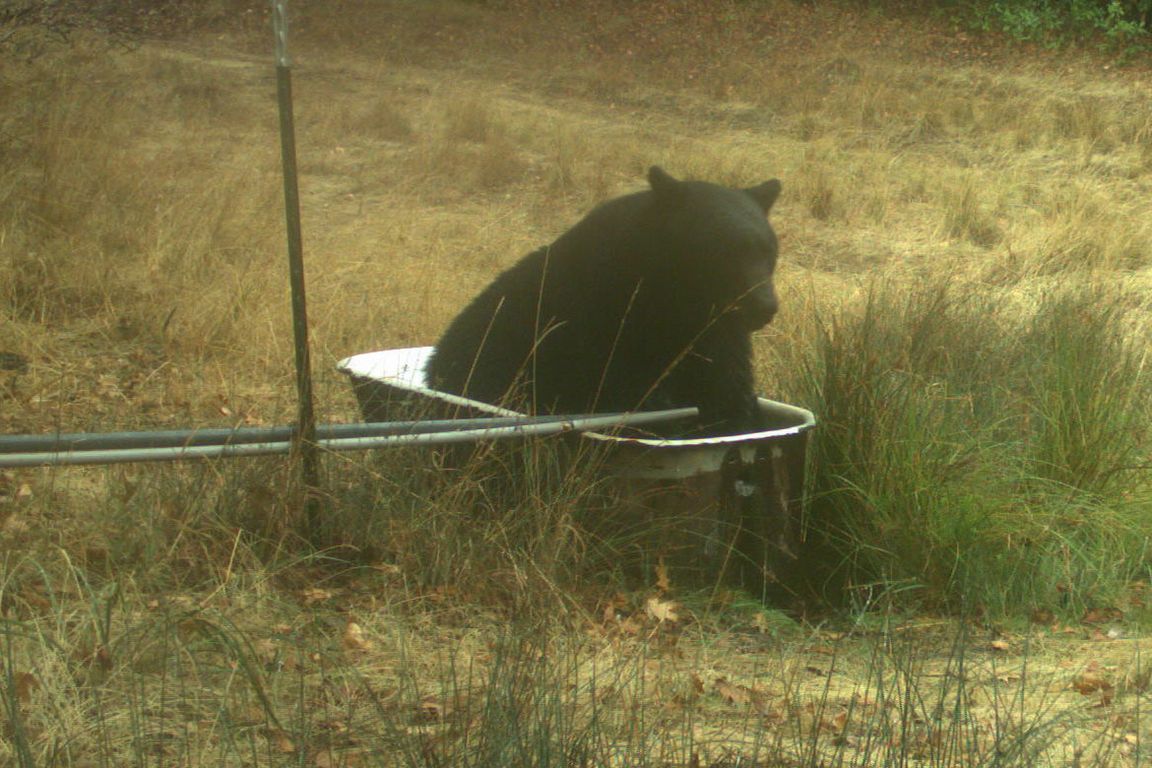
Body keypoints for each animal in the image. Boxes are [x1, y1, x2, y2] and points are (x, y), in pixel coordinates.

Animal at [425, 166, 783, 437]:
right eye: (723, 251)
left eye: (768, 250)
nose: (764, 306)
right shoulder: (596, 323)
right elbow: (625, 390)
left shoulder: (717, 336)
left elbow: (728, 387)